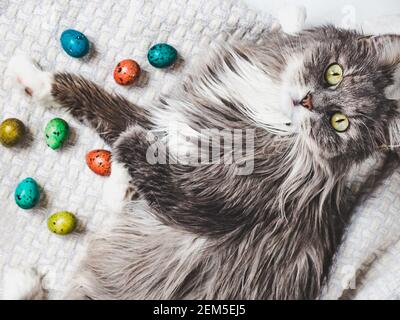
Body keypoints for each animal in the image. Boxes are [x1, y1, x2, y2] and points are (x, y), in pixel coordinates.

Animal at [4, 25, 400, 300]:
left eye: (340, 123)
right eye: (334, 73)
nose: (307, 101)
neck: (265, 114)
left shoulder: (205, 203)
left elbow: (132, 147)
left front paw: (119, 182)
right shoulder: (166, 120)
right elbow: (88, 96)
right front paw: (31, 76)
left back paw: (21, 281)